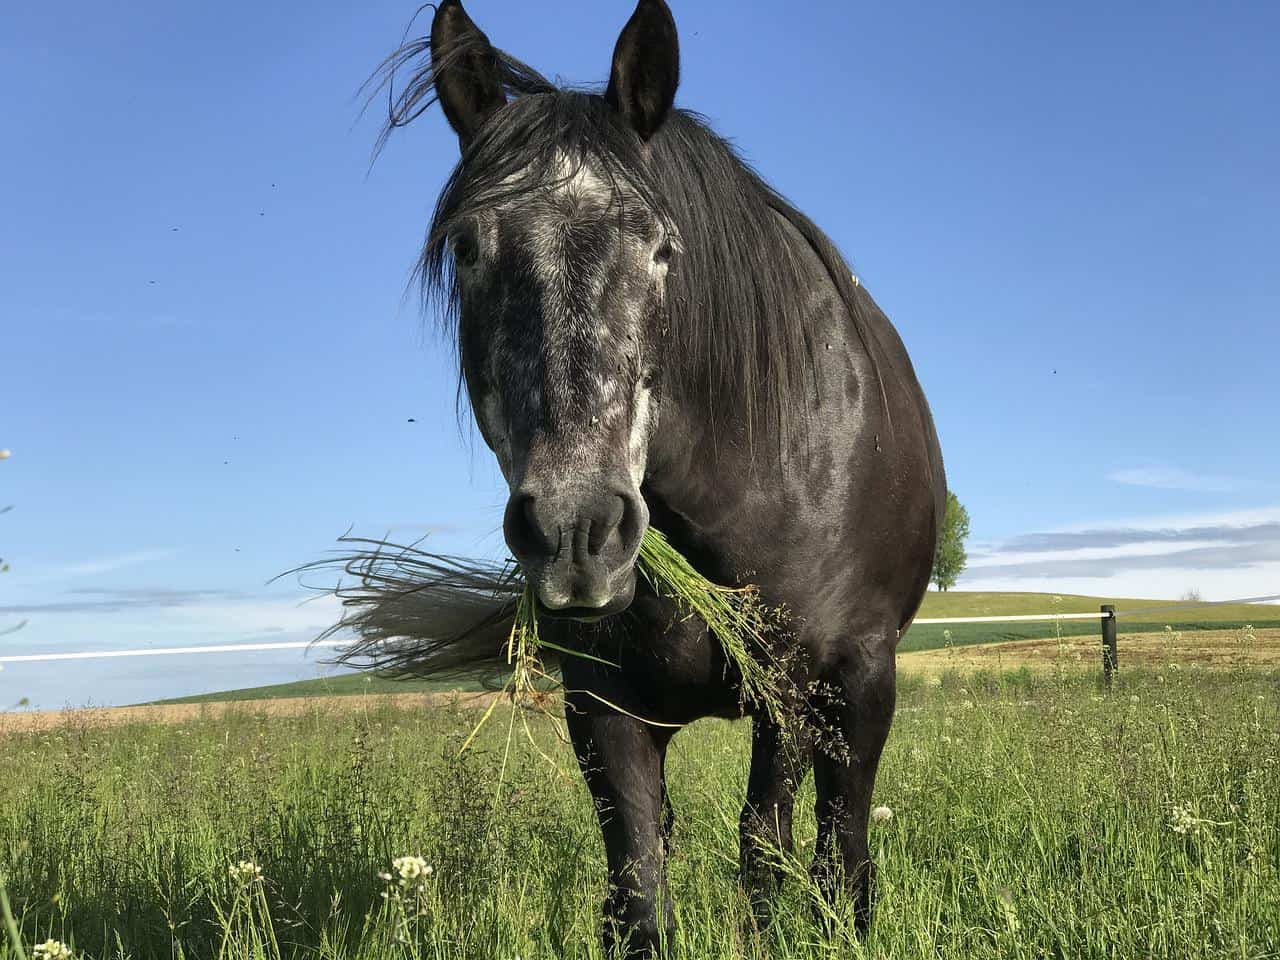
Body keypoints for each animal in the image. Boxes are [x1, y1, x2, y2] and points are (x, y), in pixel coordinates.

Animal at [366, 1, 947, 957]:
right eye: (471, 250)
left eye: (662, 248)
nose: (576, 533)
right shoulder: (606, 706)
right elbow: (640, 887)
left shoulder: (810, 686)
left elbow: (786, 858)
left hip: (837, 692)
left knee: (821, 842)